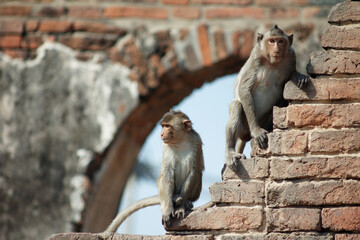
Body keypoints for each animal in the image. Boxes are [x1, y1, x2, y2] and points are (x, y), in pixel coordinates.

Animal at [225, 24, 306, 172]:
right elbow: (244, 89)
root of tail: (246, 136)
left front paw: (298, 76)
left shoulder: (291, 54)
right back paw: (230, 152)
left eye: (281, 41)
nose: (277, 49)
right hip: (244, 126)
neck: (272, 62)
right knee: (237, 106)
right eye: (271, 41)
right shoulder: (256, 56)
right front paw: (257, 131)